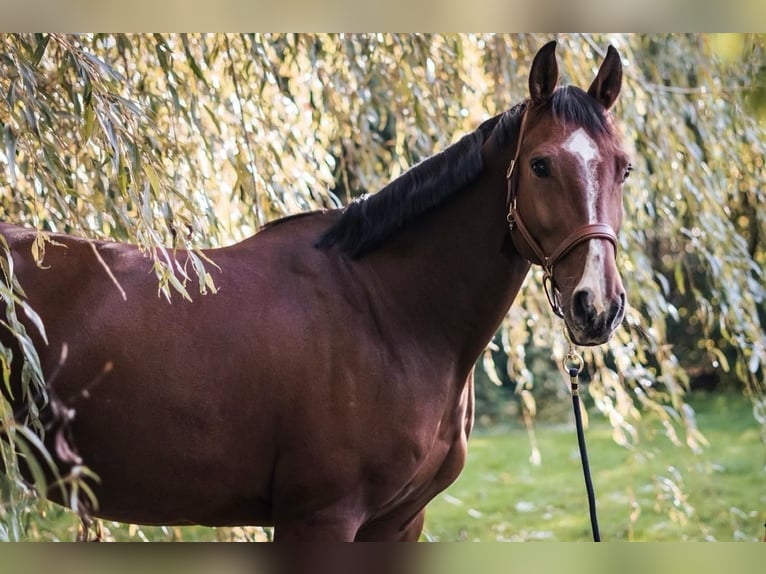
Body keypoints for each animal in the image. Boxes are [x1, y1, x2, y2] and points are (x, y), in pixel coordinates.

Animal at [0, 41, 632, 544]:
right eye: (540, 165)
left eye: (623, 168)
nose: (597, 306)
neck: (388, 314)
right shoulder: (320, 518)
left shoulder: (398, 523)